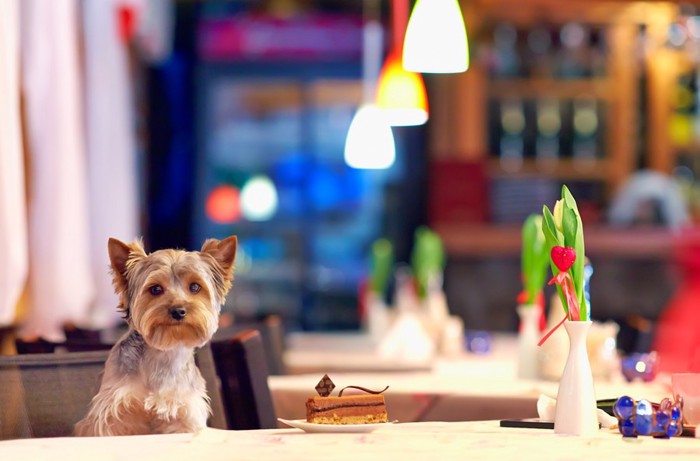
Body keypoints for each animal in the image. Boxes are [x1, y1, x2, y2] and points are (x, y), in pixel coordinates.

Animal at [74, 234, 238, 434]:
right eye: (155, 289)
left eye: (195, 287)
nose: (178, 311)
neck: (163, 352)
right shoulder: (112, 413)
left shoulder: (184, 414)